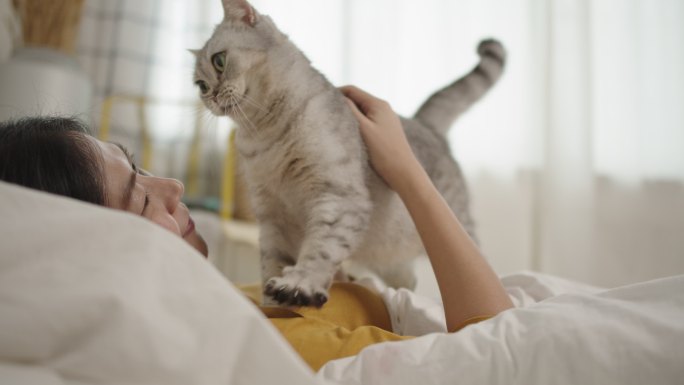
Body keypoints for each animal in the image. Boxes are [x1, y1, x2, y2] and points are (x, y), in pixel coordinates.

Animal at [190, 0, 504, 306]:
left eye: (219, 61)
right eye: (200, 86)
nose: (211, 96)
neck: (264, 133)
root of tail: (424, 123)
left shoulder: (338, 196)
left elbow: (320, 249)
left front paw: (299, 284)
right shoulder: (272, 215)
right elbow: (273, 260)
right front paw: (271, 306)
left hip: (456, 224)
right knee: (408, 280)